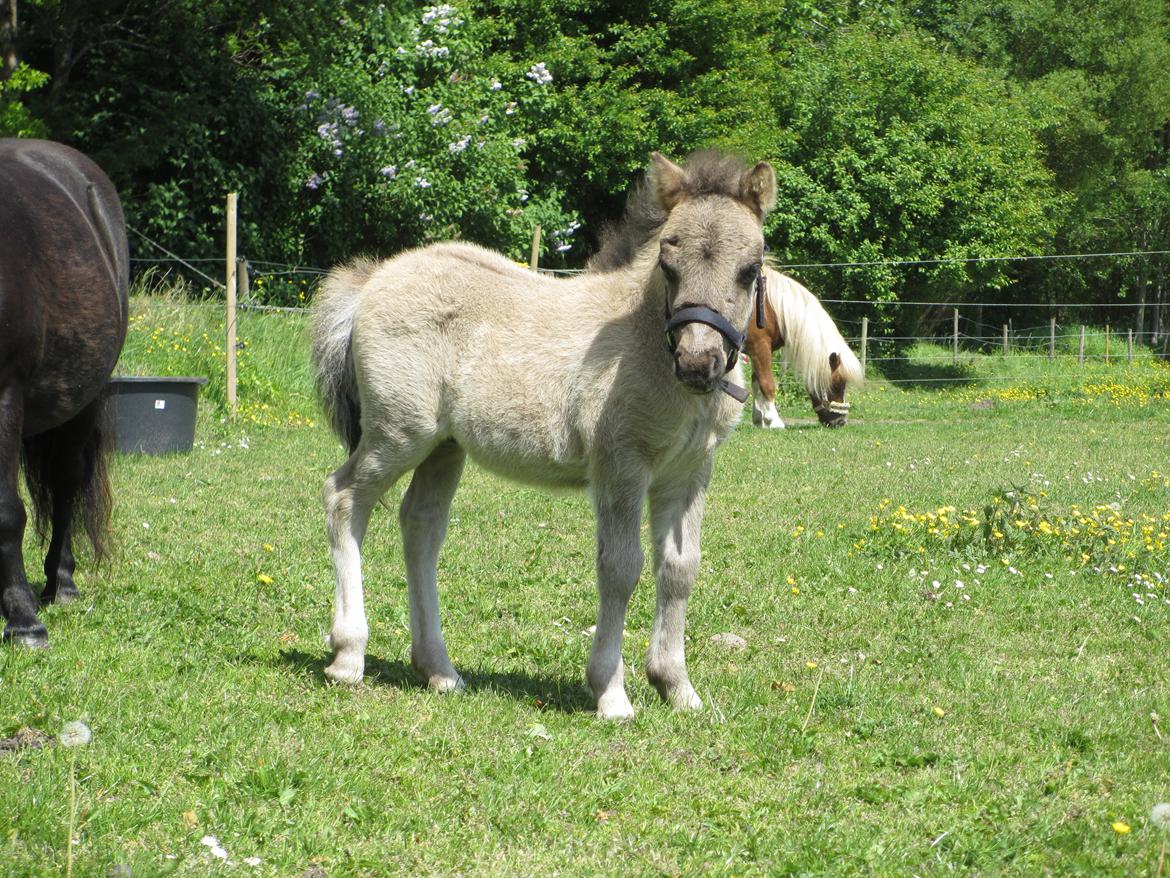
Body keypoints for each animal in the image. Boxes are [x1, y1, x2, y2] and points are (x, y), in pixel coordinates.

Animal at [308, 149, 776, 716]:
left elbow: (680, 568)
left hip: (444, 447)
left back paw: (440, 670)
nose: (697, 363)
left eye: (749, 270)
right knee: (343, 497)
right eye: (669, 266)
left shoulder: (688, 472)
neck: (646, 346)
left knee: (420, 527)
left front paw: (677, 686)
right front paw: (610, 692)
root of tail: (375, 278)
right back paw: (348, 655)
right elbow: (621, 567)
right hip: (399, 432)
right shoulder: (621, 464)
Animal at [744, 270, 865, 430]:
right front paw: (774, 421)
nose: (840, 422)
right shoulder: (760, 347)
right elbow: (766, 384)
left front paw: (759, 420)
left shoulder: (756, 352)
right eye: (838, 384)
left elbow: (756, 384)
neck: (770, 308)